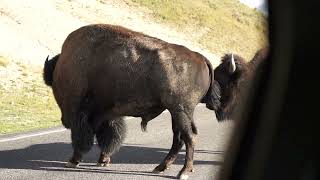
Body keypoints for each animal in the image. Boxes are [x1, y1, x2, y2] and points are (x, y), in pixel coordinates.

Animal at [42, 23, 222, 180]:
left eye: (54, 86)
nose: (63, 120)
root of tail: (200, 57)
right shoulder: (107, 114)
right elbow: (108, 137)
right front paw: (103, 161)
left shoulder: (82, 113)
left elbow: (83, 137)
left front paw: (73, 161)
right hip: (177, 113)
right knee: (179, 139)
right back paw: (160, 168)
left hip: (180, 111)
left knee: (189, 138)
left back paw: (183, 172)